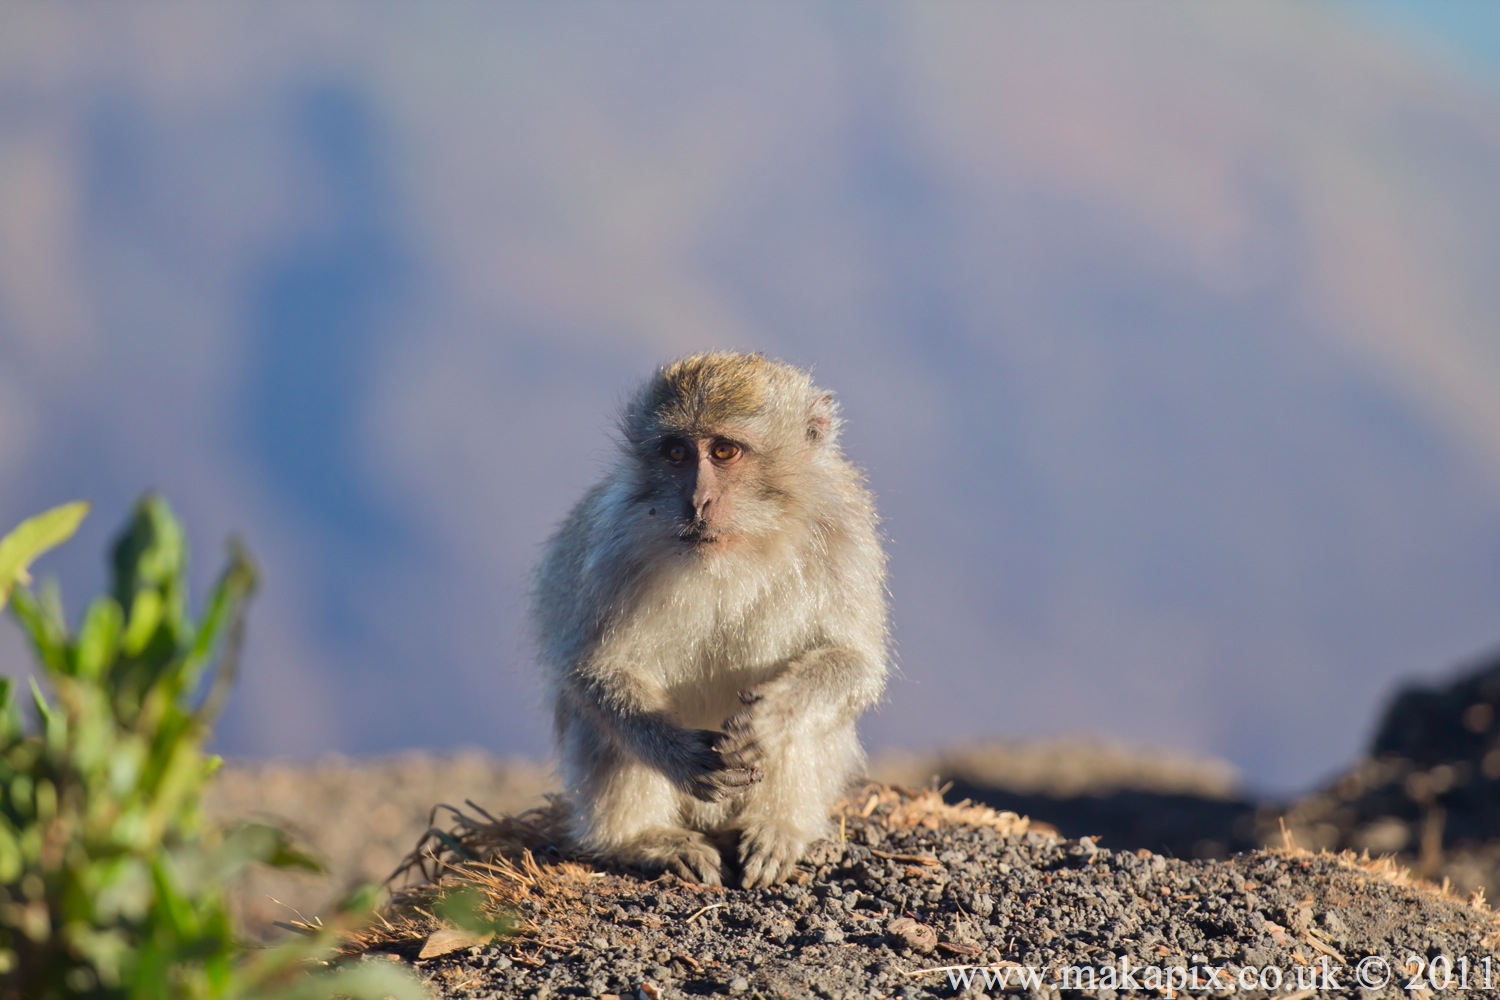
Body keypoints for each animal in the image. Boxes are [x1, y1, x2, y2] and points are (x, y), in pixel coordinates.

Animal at [528, 353, 882, 893]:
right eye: (676, 453)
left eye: (723, 451)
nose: (696, 502)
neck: (742, 544)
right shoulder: (612, 546)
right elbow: (592, 672)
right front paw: (678, 753)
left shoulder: (843, 534)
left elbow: (857, 663)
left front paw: (775, 715)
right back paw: (644, 838)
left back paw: (778, 827)